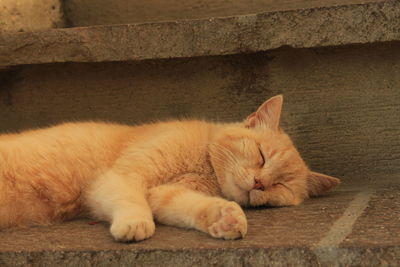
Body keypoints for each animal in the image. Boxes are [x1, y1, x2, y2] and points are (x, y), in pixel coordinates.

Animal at [0, 95, 340, 242]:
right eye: (261, 157)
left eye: (280, 185)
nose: (259, 183)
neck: (204, 166)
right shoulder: (123, 178)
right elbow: (131, 202)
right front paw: (135, 224)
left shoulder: (162, 194)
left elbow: (189, 207)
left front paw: (224, 218)